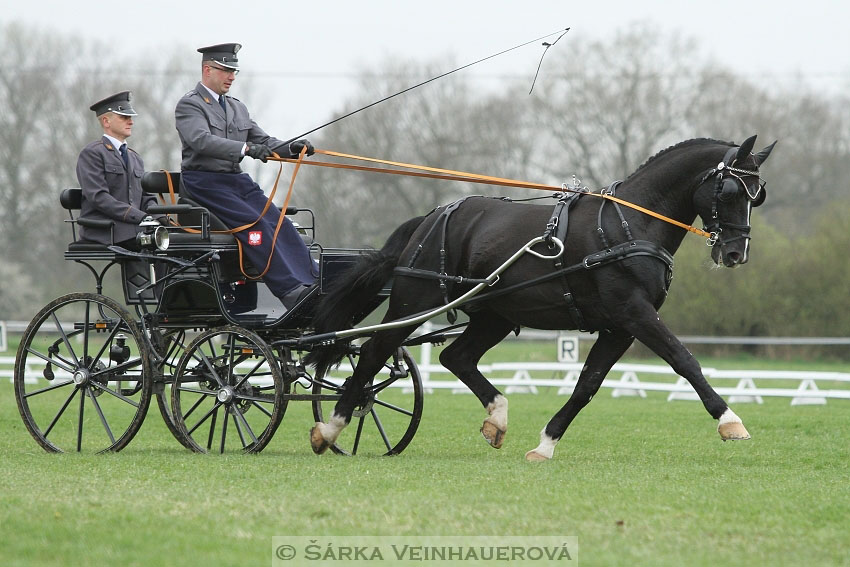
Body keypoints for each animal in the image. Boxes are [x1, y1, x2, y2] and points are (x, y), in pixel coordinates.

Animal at [306, 136, 776, 462]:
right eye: (731, 192)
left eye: (758, 195)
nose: (735, 254)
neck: (630, 223)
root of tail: (433, 216)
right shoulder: (634, 313)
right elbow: (684, 360)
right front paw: (730, 421)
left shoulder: (619, 326)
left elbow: (587, 385)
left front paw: (546, 443)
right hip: (414, 303)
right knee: (373, 352)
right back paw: (332, 428)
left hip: (493, 314)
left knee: (455, 357)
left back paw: (496, 418)